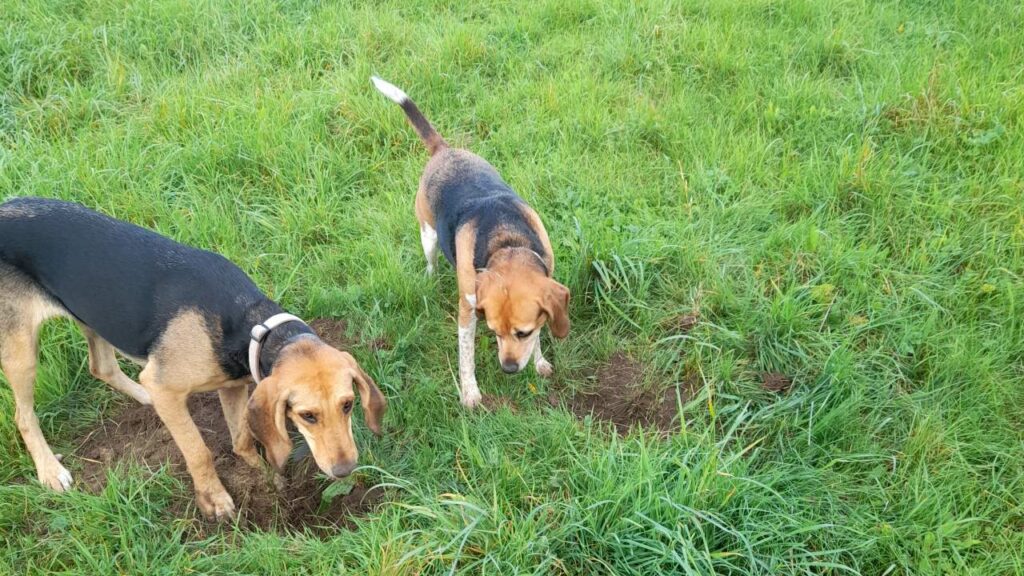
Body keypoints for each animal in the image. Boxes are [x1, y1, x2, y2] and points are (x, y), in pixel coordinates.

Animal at [1, 196, 385, 520]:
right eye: (307, 416)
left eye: (348, 404)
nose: (345, 470)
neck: (248, 323)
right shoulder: (168, 388)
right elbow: (199, 451)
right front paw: (214, 499)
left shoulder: (232, 385)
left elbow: (242, 439)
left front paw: (265, 478)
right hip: (21, 349)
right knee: (24, 416)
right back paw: (50, 471)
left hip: (93, 315)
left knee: (102, 367)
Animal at [372, 77, 573, 407]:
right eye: (494, 331)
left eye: (522, 332)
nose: (508, 369)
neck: (507, 243)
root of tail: (444, 150)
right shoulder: (467, 311)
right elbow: (466, 357)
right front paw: (470, 393)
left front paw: (540, 361)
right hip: (428, 235)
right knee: (430, 261)